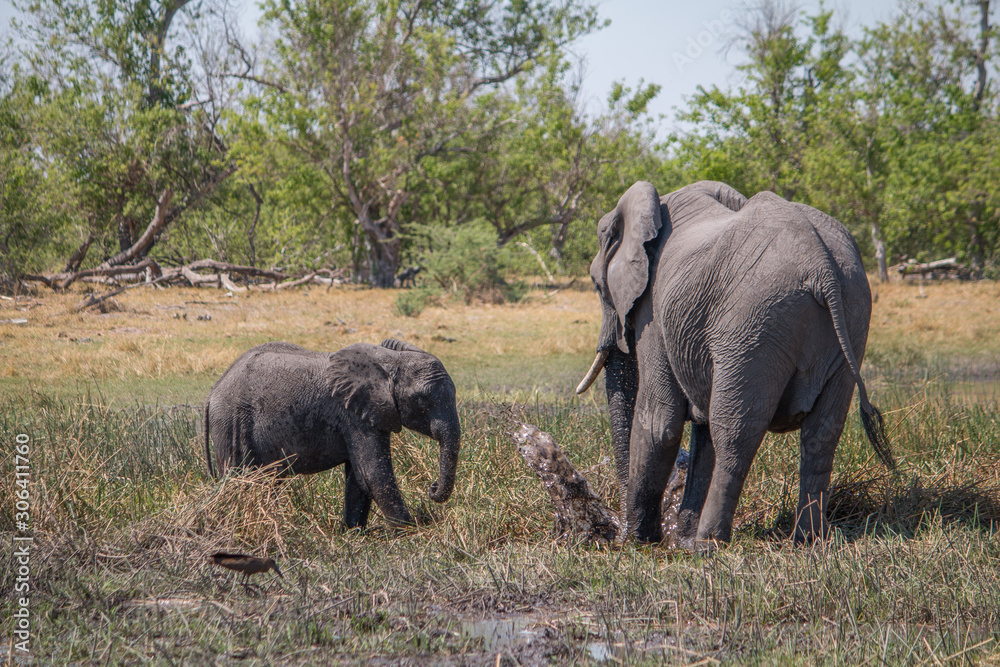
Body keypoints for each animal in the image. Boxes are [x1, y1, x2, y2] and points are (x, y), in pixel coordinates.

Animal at [204, 339, 461, 529]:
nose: (432, 487)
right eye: (422, 401)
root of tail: (212, 392)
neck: (389, 361)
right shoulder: (353, 414)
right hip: (232, 422)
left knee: (267, 481)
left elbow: (358, 477)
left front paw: (354, 534)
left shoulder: (371, 412)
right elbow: (374, 474)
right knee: (241, 479)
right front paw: (409, 532)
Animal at [576, 180, 894, 549]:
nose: (618, 530)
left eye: (597, 285)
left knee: (735, 430)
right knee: (823, 432)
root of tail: (822, 267)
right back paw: (808, 540)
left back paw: (708, 544)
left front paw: (640, 545)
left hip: (754, 323)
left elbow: (660, 423)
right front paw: (677, 541)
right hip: (851, 316)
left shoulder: (654, 313)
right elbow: (700, 430)